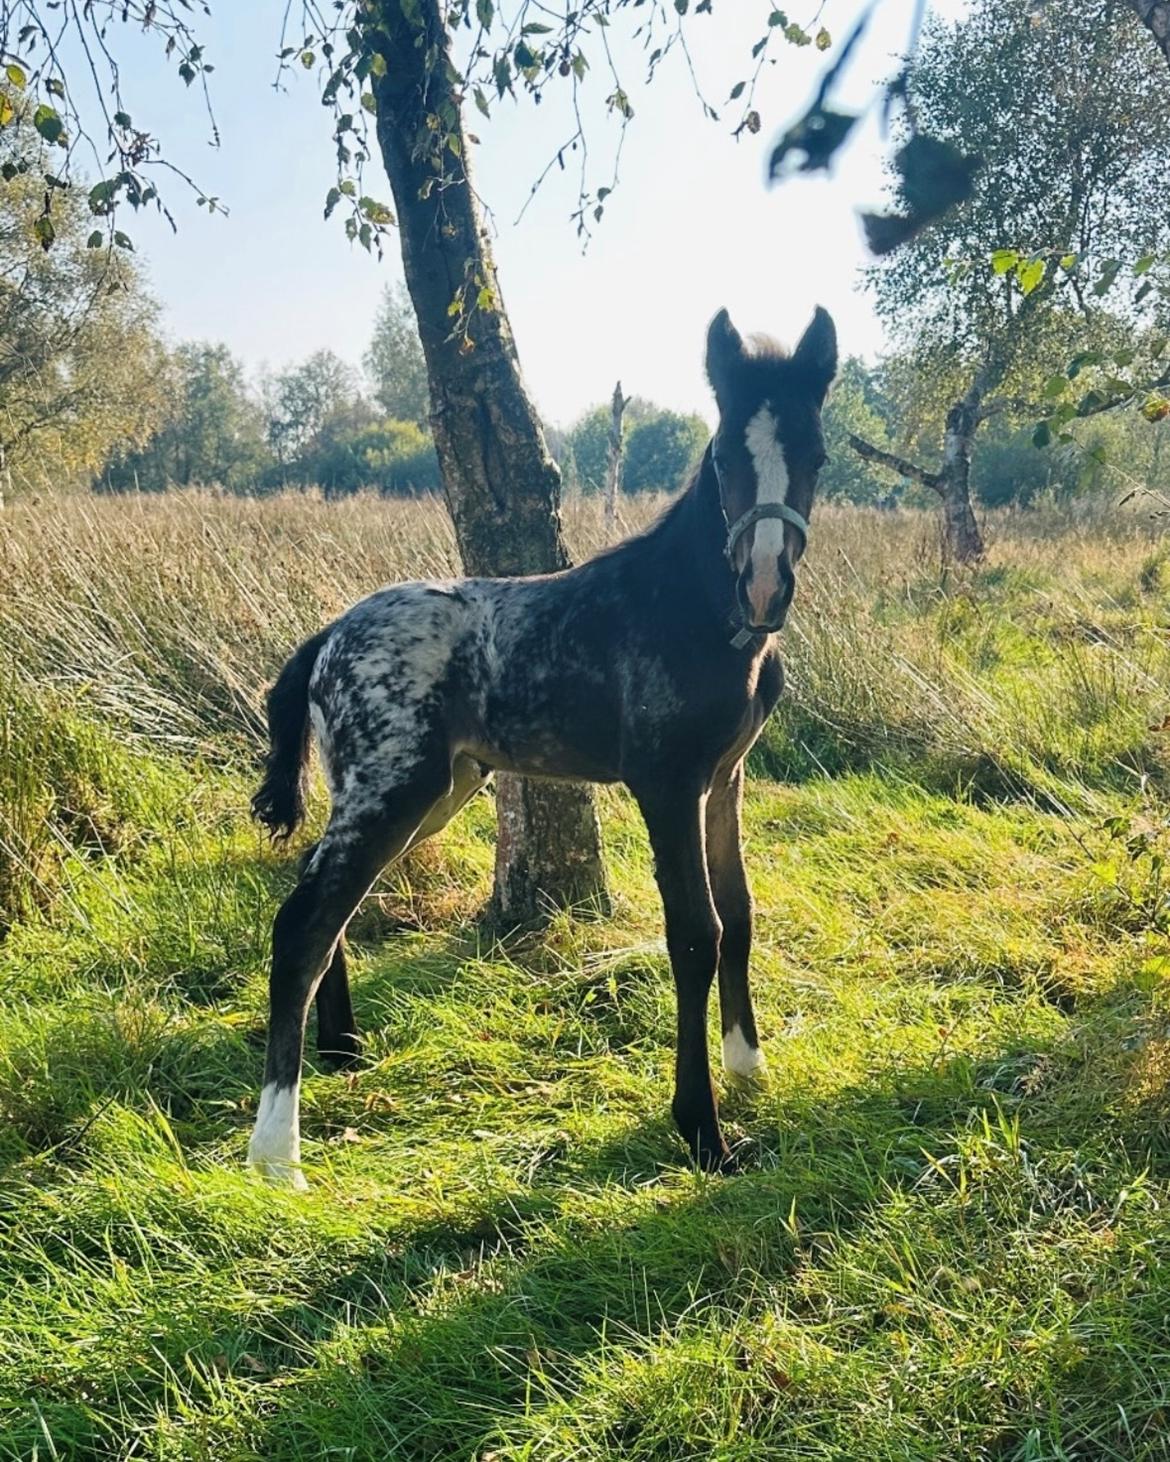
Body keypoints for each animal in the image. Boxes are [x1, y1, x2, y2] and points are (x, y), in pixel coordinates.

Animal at [248, 308, 830, 1187]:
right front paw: (703, 1129)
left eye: (817, 458)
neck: (690, 608)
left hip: (433, 788)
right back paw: (278, 1155)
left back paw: (343, 1051)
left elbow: (740, 913)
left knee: (328, 898)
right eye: (726, 455)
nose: (763, 587)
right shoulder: (666, 784)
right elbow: (696, 933)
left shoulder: (725, 779)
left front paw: (748, 1069)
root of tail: (328, 637)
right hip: (392, 785)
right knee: (303, 921)